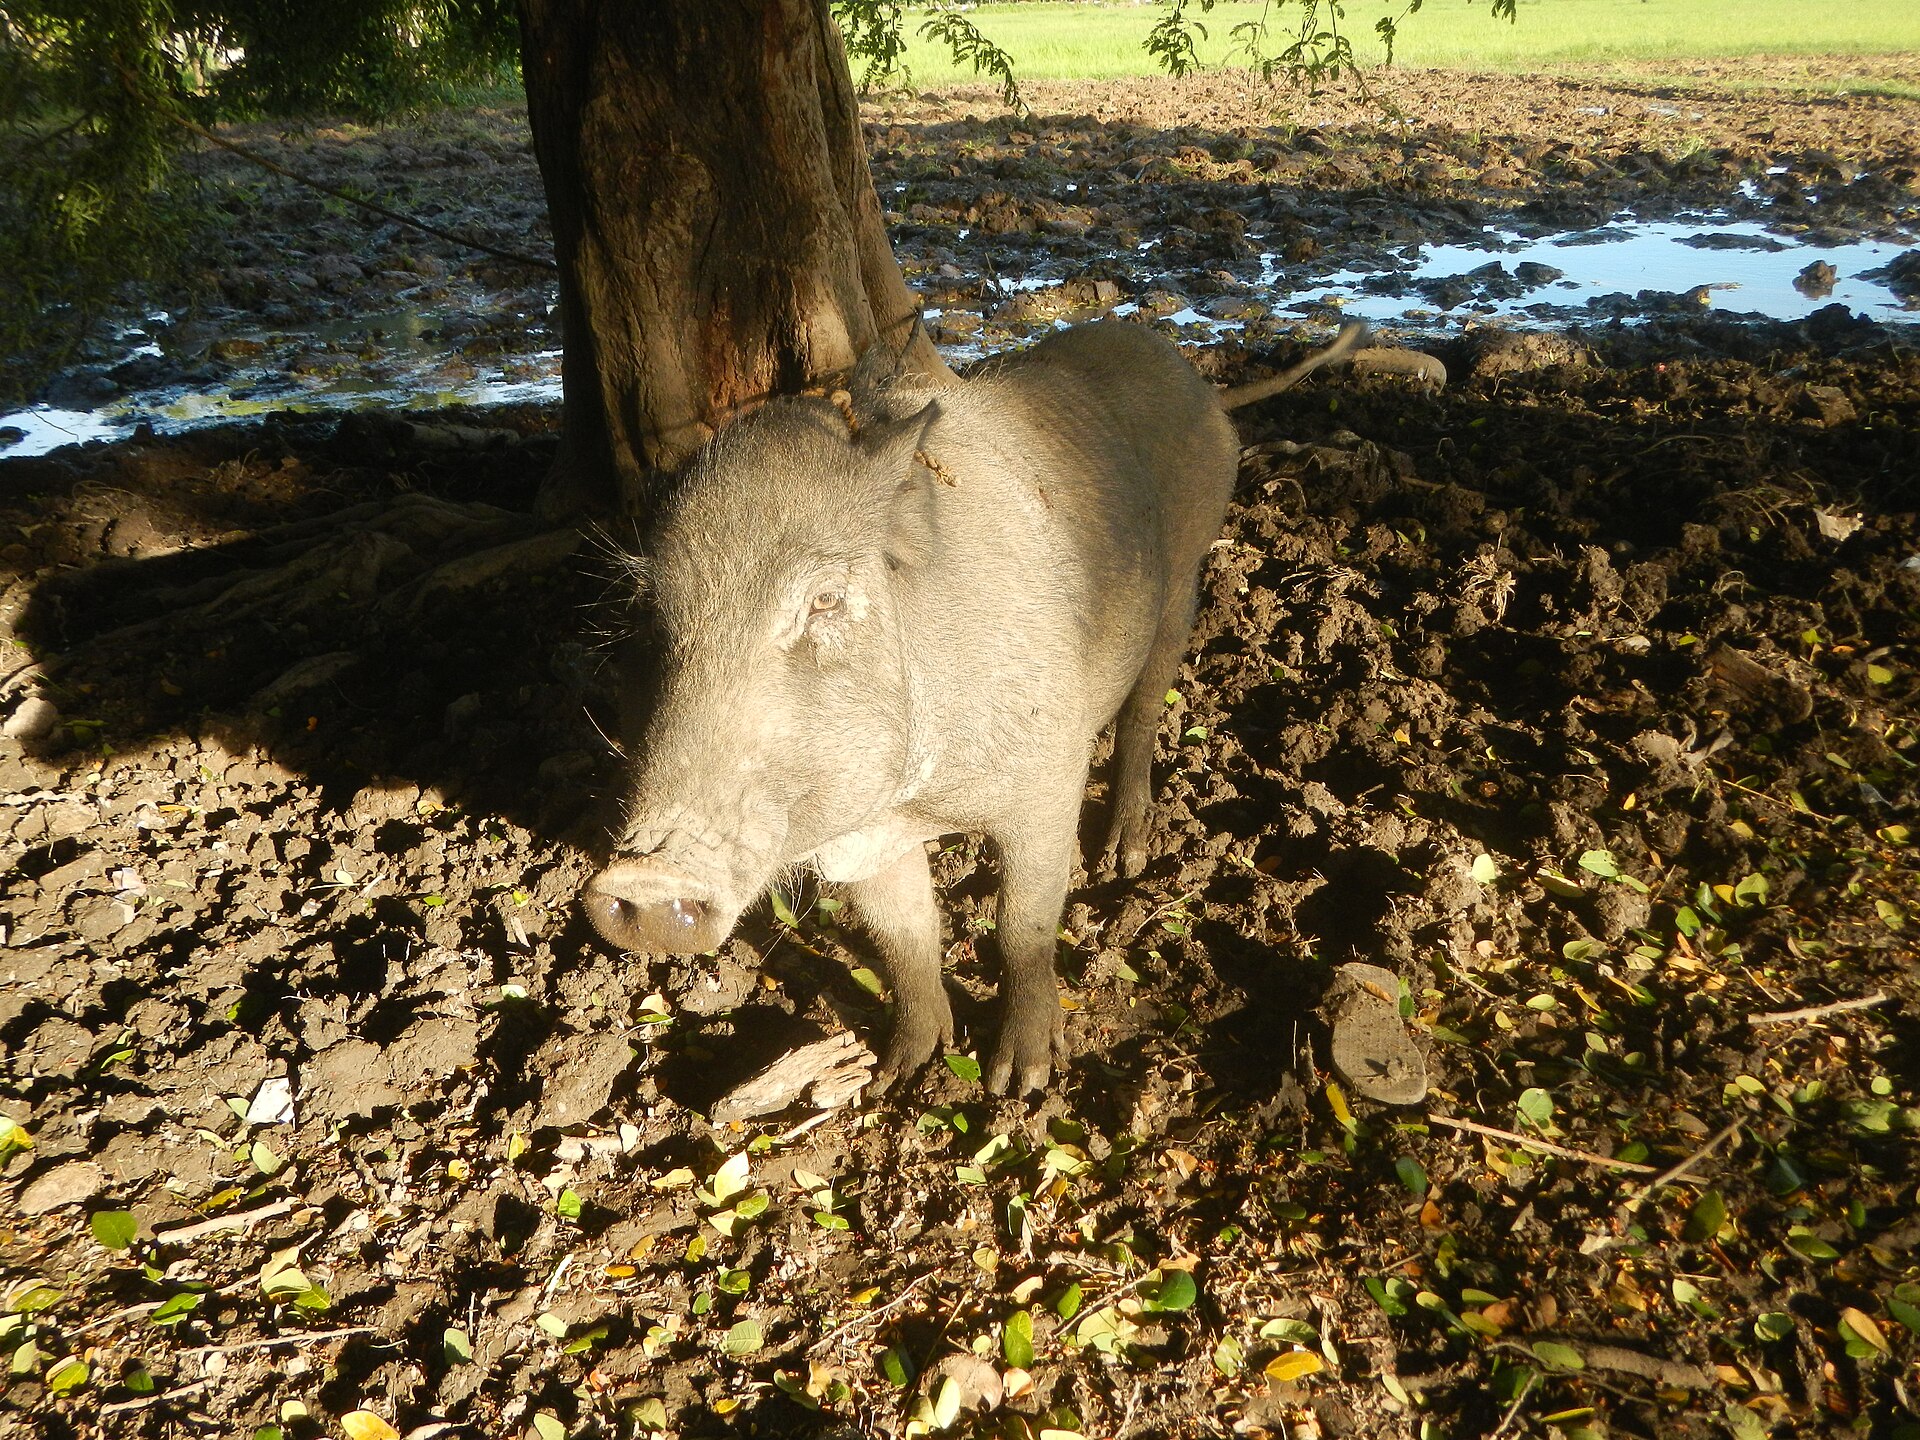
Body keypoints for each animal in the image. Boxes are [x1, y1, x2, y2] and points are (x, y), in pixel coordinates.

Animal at [583, 320, 1359, 1095]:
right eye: (651, 614)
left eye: (825, 598)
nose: (642, 880)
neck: (920, 804)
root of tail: (1197, 382)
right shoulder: (863, 836)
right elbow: (905, 937)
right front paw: (898, 1075)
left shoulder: (1048, 774)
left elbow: (1024, 925)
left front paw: (1021, 1082)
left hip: (1185, 579)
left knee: (1144, 712)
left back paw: (1124, 859)